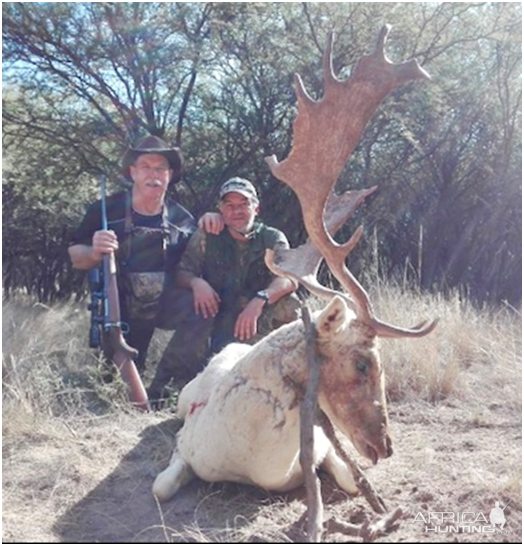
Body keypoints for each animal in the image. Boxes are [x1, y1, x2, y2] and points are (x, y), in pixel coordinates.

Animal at [154, 25, 436, 502]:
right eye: (364, 363)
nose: (385, 446)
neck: (257, 465)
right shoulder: (183, 442)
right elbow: (160, 485)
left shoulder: (325, 447)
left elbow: (352, 483)